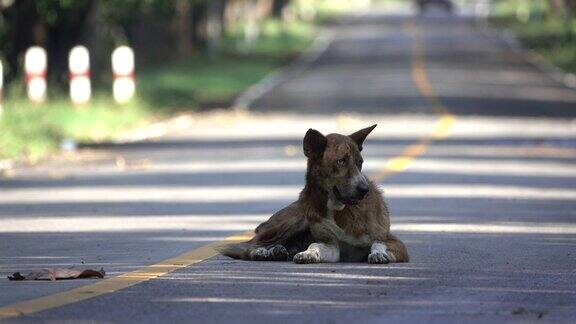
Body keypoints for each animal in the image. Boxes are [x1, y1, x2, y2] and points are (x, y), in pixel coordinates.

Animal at [217, 124, 410, 264]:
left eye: (360, 162)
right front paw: (308, 254)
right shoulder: (330, 243)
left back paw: (278, 252)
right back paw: (263, 252)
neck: (337, 209)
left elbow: (379, 243)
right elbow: (315, 244)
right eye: (341, 161)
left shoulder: (394, 242)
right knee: (247, 245)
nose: (364, 190)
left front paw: (378, 254)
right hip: (295, 220)